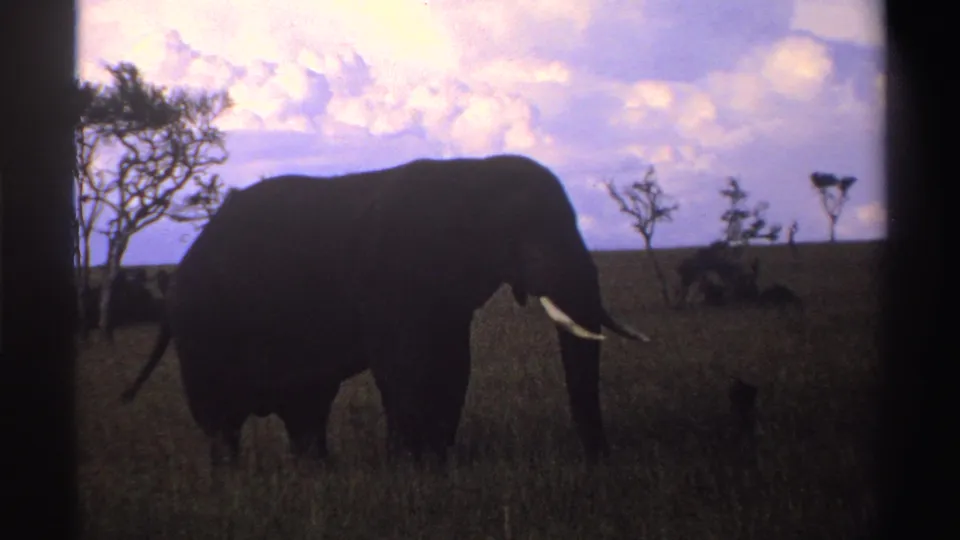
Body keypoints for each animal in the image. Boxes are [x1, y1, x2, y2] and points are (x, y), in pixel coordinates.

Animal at [120, 154, 650, 467]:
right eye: (531, 233)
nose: (601, 464)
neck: (472, 173)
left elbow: (452, 366)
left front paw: (435, 465)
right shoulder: (392, 277)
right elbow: (406, 367)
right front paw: (412, 470)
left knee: (306, 409)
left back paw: (318, 476)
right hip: (204, 332)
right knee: (221, 419)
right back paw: (233, 483)